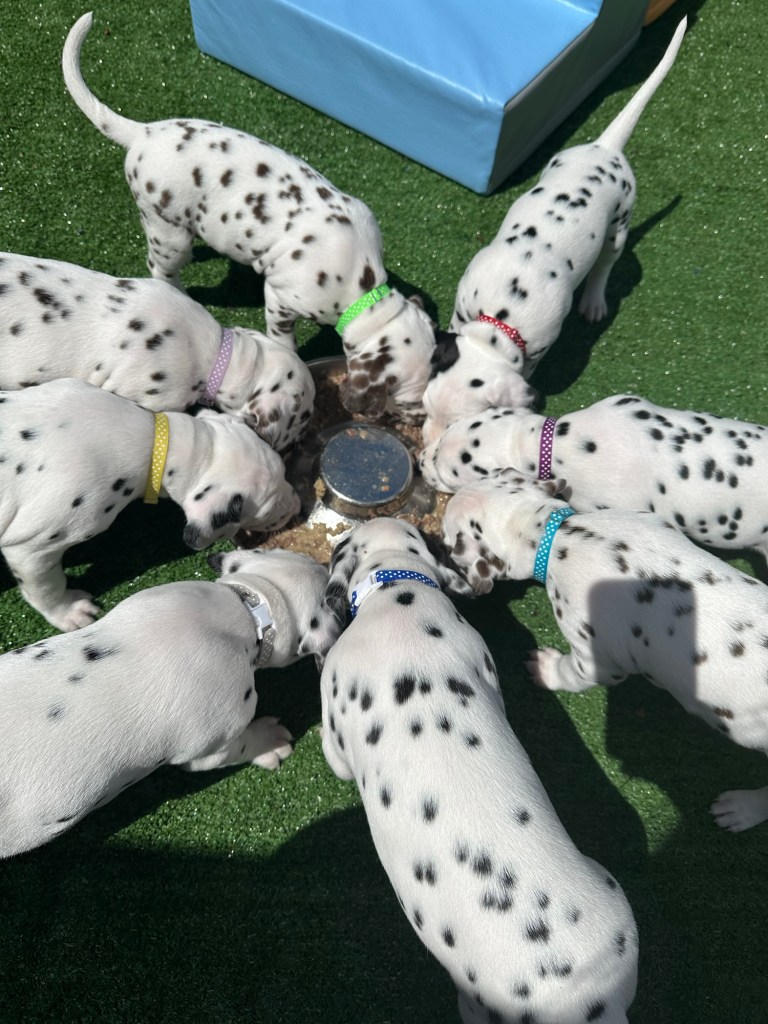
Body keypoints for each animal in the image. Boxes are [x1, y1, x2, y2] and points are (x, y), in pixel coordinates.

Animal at [0, 378, 301, 631]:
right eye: (270, 507)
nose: (298, 505)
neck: (151, 442)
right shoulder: (31, 549)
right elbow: (46, 587)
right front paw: (68, 612)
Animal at [62, 13, 436, 421]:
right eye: (408, 400)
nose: (423, 418)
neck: (359, 285)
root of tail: (143, 133)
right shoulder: (280, 299)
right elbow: (284, 338)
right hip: (169, 233)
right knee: (161, 267)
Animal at [442, 473, 768, 832]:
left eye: (447, 541)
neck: (559, 535)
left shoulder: (595, 661)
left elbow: (571, 673)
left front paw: (546, 668)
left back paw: (743, 808)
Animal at [449, 19, 687, 380]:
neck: (505, 308)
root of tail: (606, 147)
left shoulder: (538, 350)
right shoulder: (461, 310)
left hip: (619, 225)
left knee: (604, 265)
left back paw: (594, 303)